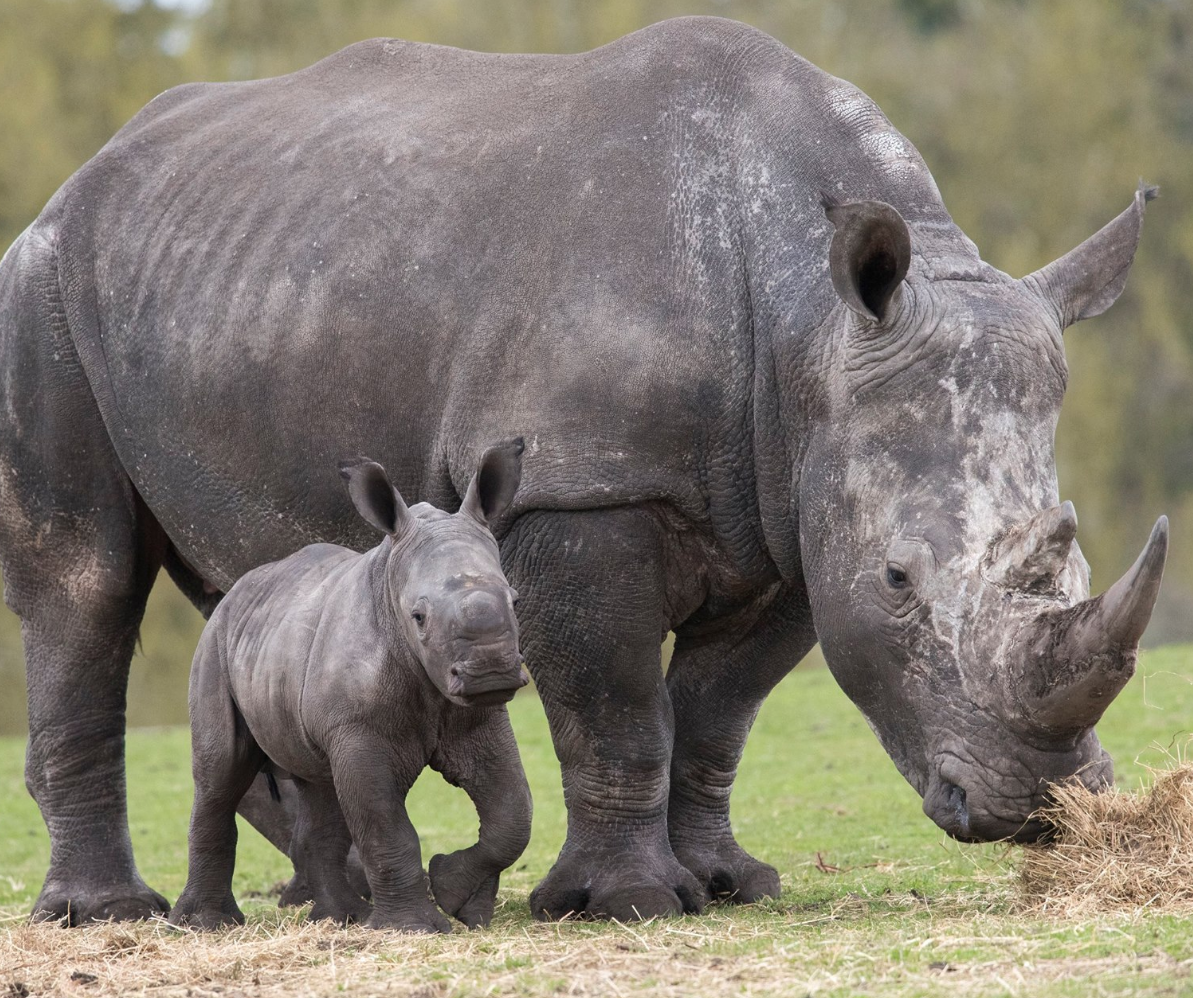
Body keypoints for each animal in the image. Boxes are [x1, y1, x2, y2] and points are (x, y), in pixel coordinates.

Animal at [167, 441, 527, 930]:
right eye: (418, 617)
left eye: (515, 600)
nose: (491, 671)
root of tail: (233, 594)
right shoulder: (359, 730)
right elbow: (384, 825)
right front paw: (412, 928)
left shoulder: (480, 714)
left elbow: (512, 812)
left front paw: (458, 898)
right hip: (214, 647)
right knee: (221, 776)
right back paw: (207, 924)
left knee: (320, 788)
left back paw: (341, 917)